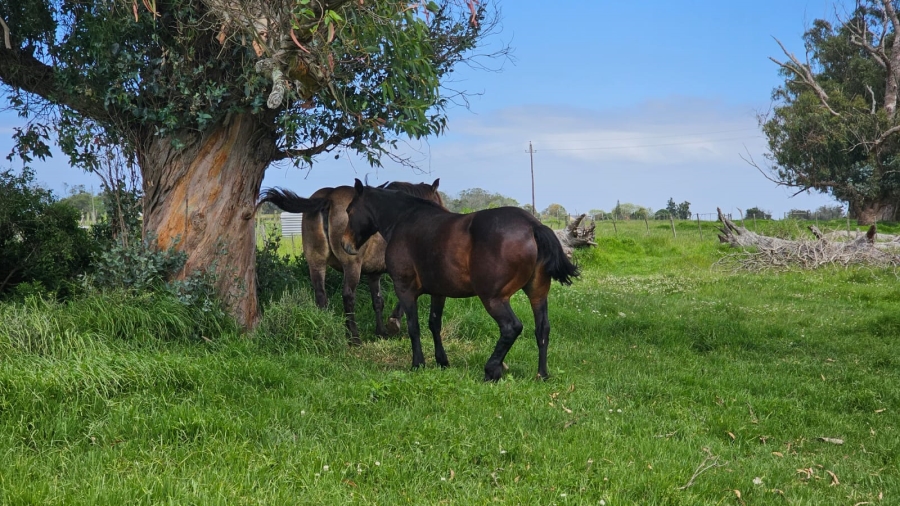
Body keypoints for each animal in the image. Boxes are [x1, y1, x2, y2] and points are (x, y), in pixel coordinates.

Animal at [256, 179, 442, 344]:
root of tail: (329, 197)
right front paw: (393, 323)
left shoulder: (374, 274)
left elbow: (378, 301)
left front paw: (381, 331)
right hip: (351, 265)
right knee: (348, 296)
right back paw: (354, 337)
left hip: (315, 262)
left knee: (321, 294)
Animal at [342, 178, 580, 380]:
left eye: (349, 210)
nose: (346, 244)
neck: (405, 220)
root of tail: (532, 225)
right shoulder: (438, 292)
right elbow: (434, 324)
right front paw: (441, 361)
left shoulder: (405, 289)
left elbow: (413, 326)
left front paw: (418, 363)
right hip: (537, 294)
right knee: (542, 329)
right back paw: (542, 374)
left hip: (493, 298)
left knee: (511, 327)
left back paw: (492, 370)